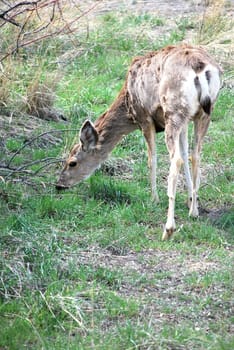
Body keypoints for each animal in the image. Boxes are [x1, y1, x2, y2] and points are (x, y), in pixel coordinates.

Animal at [56, 43, 221, 241]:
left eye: (72, 162)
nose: (58, 184)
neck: (128, 105)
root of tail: (200, 68)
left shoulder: (145, 117)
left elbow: (152, 159)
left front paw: (154, 198)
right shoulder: (187, 120)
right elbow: (186, 154)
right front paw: (190, 200)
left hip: (173, 110)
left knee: (176, 160)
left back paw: (168, 229)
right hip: (203, 113)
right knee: (195, 155)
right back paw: (194, 212)